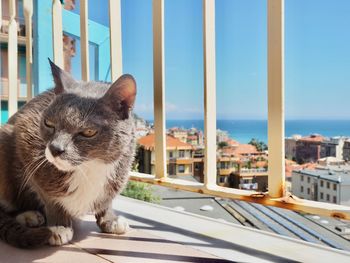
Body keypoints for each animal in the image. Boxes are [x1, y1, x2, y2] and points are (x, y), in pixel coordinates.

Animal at [0, 58, 137, 249]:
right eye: (48, 123)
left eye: (88, 132)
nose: (55, 148)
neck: (89, 167)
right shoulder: (26, 142)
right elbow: (49, 195)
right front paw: (59, 226)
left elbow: (107, 198)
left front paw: (110, 219)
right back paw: (28, 215)